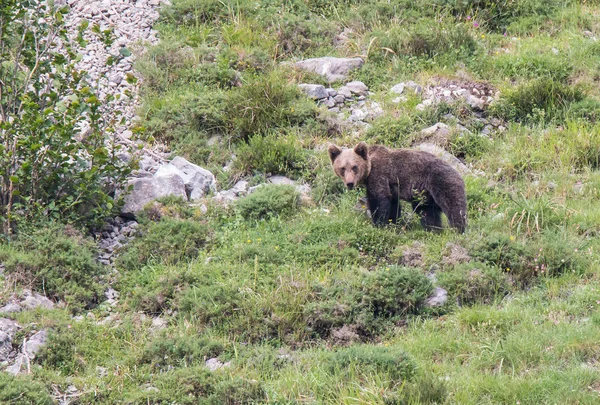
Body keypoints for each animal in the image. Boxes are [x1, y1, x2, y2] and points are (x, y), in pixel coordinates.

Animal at [330, 142, 466, 232]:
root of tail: (457, 171)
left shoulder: (379, 175)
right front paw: (393, 223)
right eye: (342, 168)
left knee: (454, 207)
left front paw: (378, 224)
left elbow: (379, 200)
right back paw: (433, 229)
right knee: (427, 212)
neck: (369, 169)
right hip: (425, 195)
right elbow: (393, 206)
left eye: (354, 167)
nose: (350, 183)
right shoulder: (393, 189)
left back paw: (458, 229)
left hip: (441, 182)